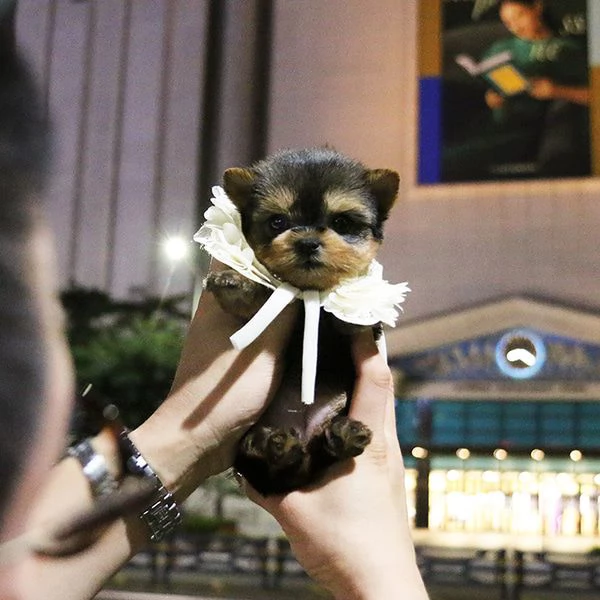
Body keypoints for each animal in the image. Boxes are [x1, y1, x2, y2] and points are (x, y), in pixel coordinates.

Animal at [205, 148, 398, 494]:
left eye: (341, 222)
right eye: (277, 221)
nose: (307, 242)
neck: (309, 292)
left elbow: (352, 321)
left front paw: (353, 316)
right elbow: (251, 301)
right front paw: (234, 282)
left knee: (325, 451)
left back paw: (343, 435)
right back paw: (271, 445)